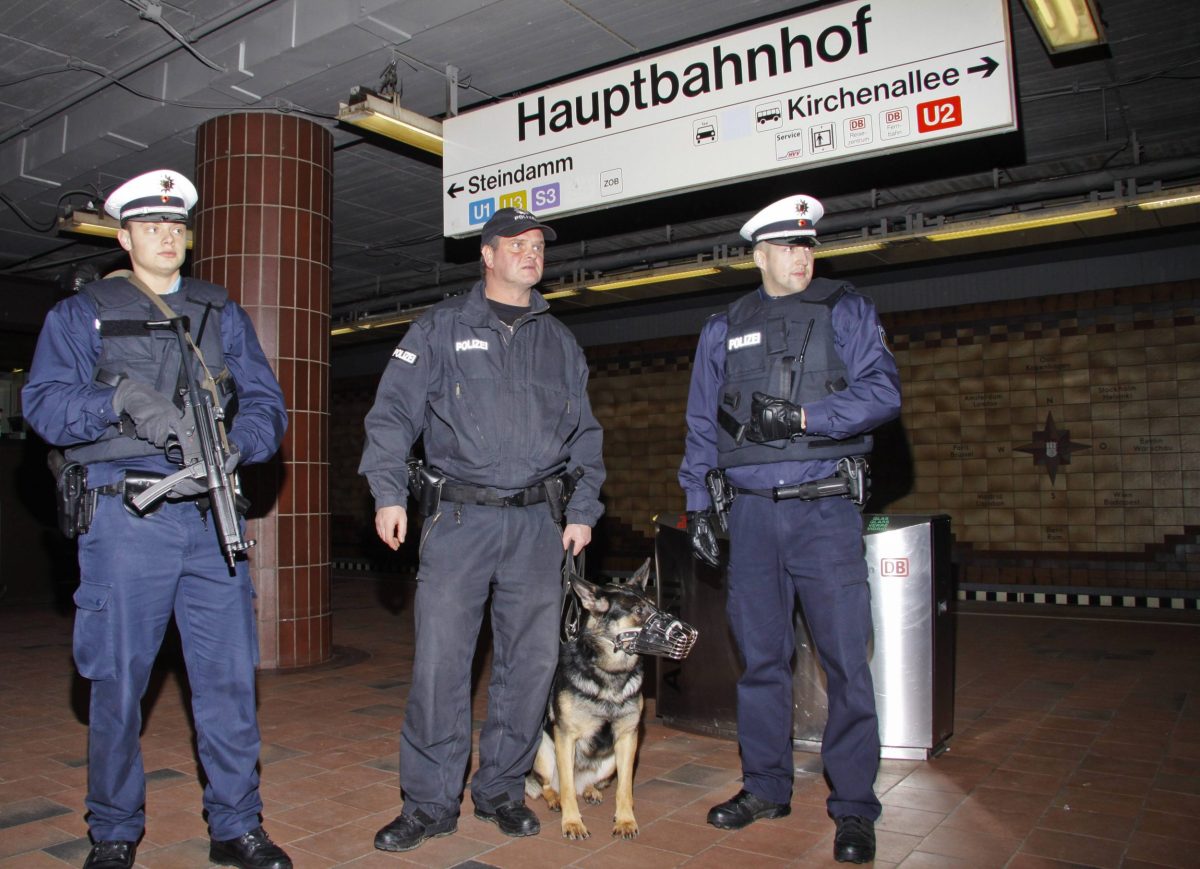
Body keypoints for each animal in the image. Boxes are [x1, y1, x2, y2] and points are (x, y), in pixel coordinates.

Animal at [525, 559, 657, 840]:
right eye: (639, 610)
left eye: (655, 605)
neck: (610, 675)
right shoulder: (566, 737)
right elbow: (565, 788)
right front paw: (572, 823)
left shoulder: (628, 738)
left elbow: (625, 789)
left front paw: (625, 820)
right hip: (544, 750)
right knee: (551, 786)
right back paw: (555, 799)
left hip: (611, 762)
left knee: (591, 784)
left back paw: (590, 791)